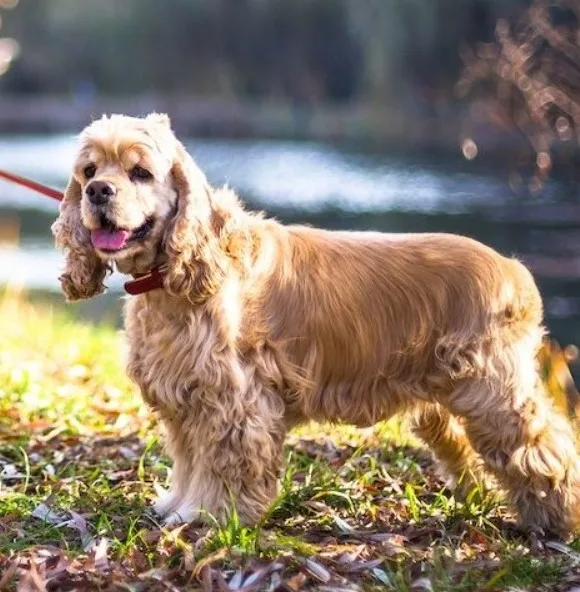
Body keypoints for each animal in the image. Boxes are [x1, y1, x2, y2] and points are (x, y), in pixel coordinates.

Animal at [52, 113, 580, 540]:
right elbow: (188, 461)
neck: (175, 278)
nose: (98, 192)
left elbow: (224, 467)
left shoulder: (234, 402)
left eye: (140, 172)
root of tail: (515, 272)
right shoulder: (184, 399)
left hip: (494, 394)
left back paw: (558, 521)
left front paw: (211, 516)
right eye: (89, 171)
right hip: (443, 405)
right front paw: (179, 506)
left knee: (545, 450)